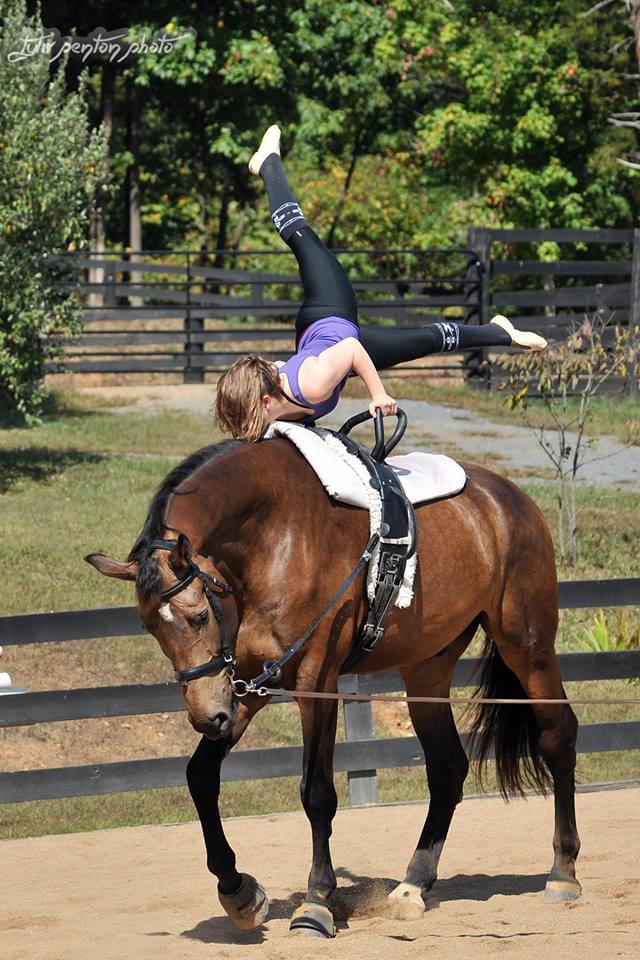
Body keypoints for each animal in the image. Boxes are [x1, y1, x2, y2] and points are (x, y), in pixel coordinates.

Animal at [85, 434, 581, 938]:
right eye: (149, 628)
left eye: (199, 615)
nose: (207, 717)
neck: (273, 536)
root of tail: (512, 500)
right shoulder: (242, 684)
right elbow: (200, 776)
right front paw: (238, 891)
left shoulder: (315, 681)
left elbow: (317, 792)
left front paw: (316, 903)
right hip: (428, 668)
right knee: (447, 767)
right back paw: (413, 884)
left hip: (529, 648)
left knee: (558, 734)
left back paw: (562, 873)